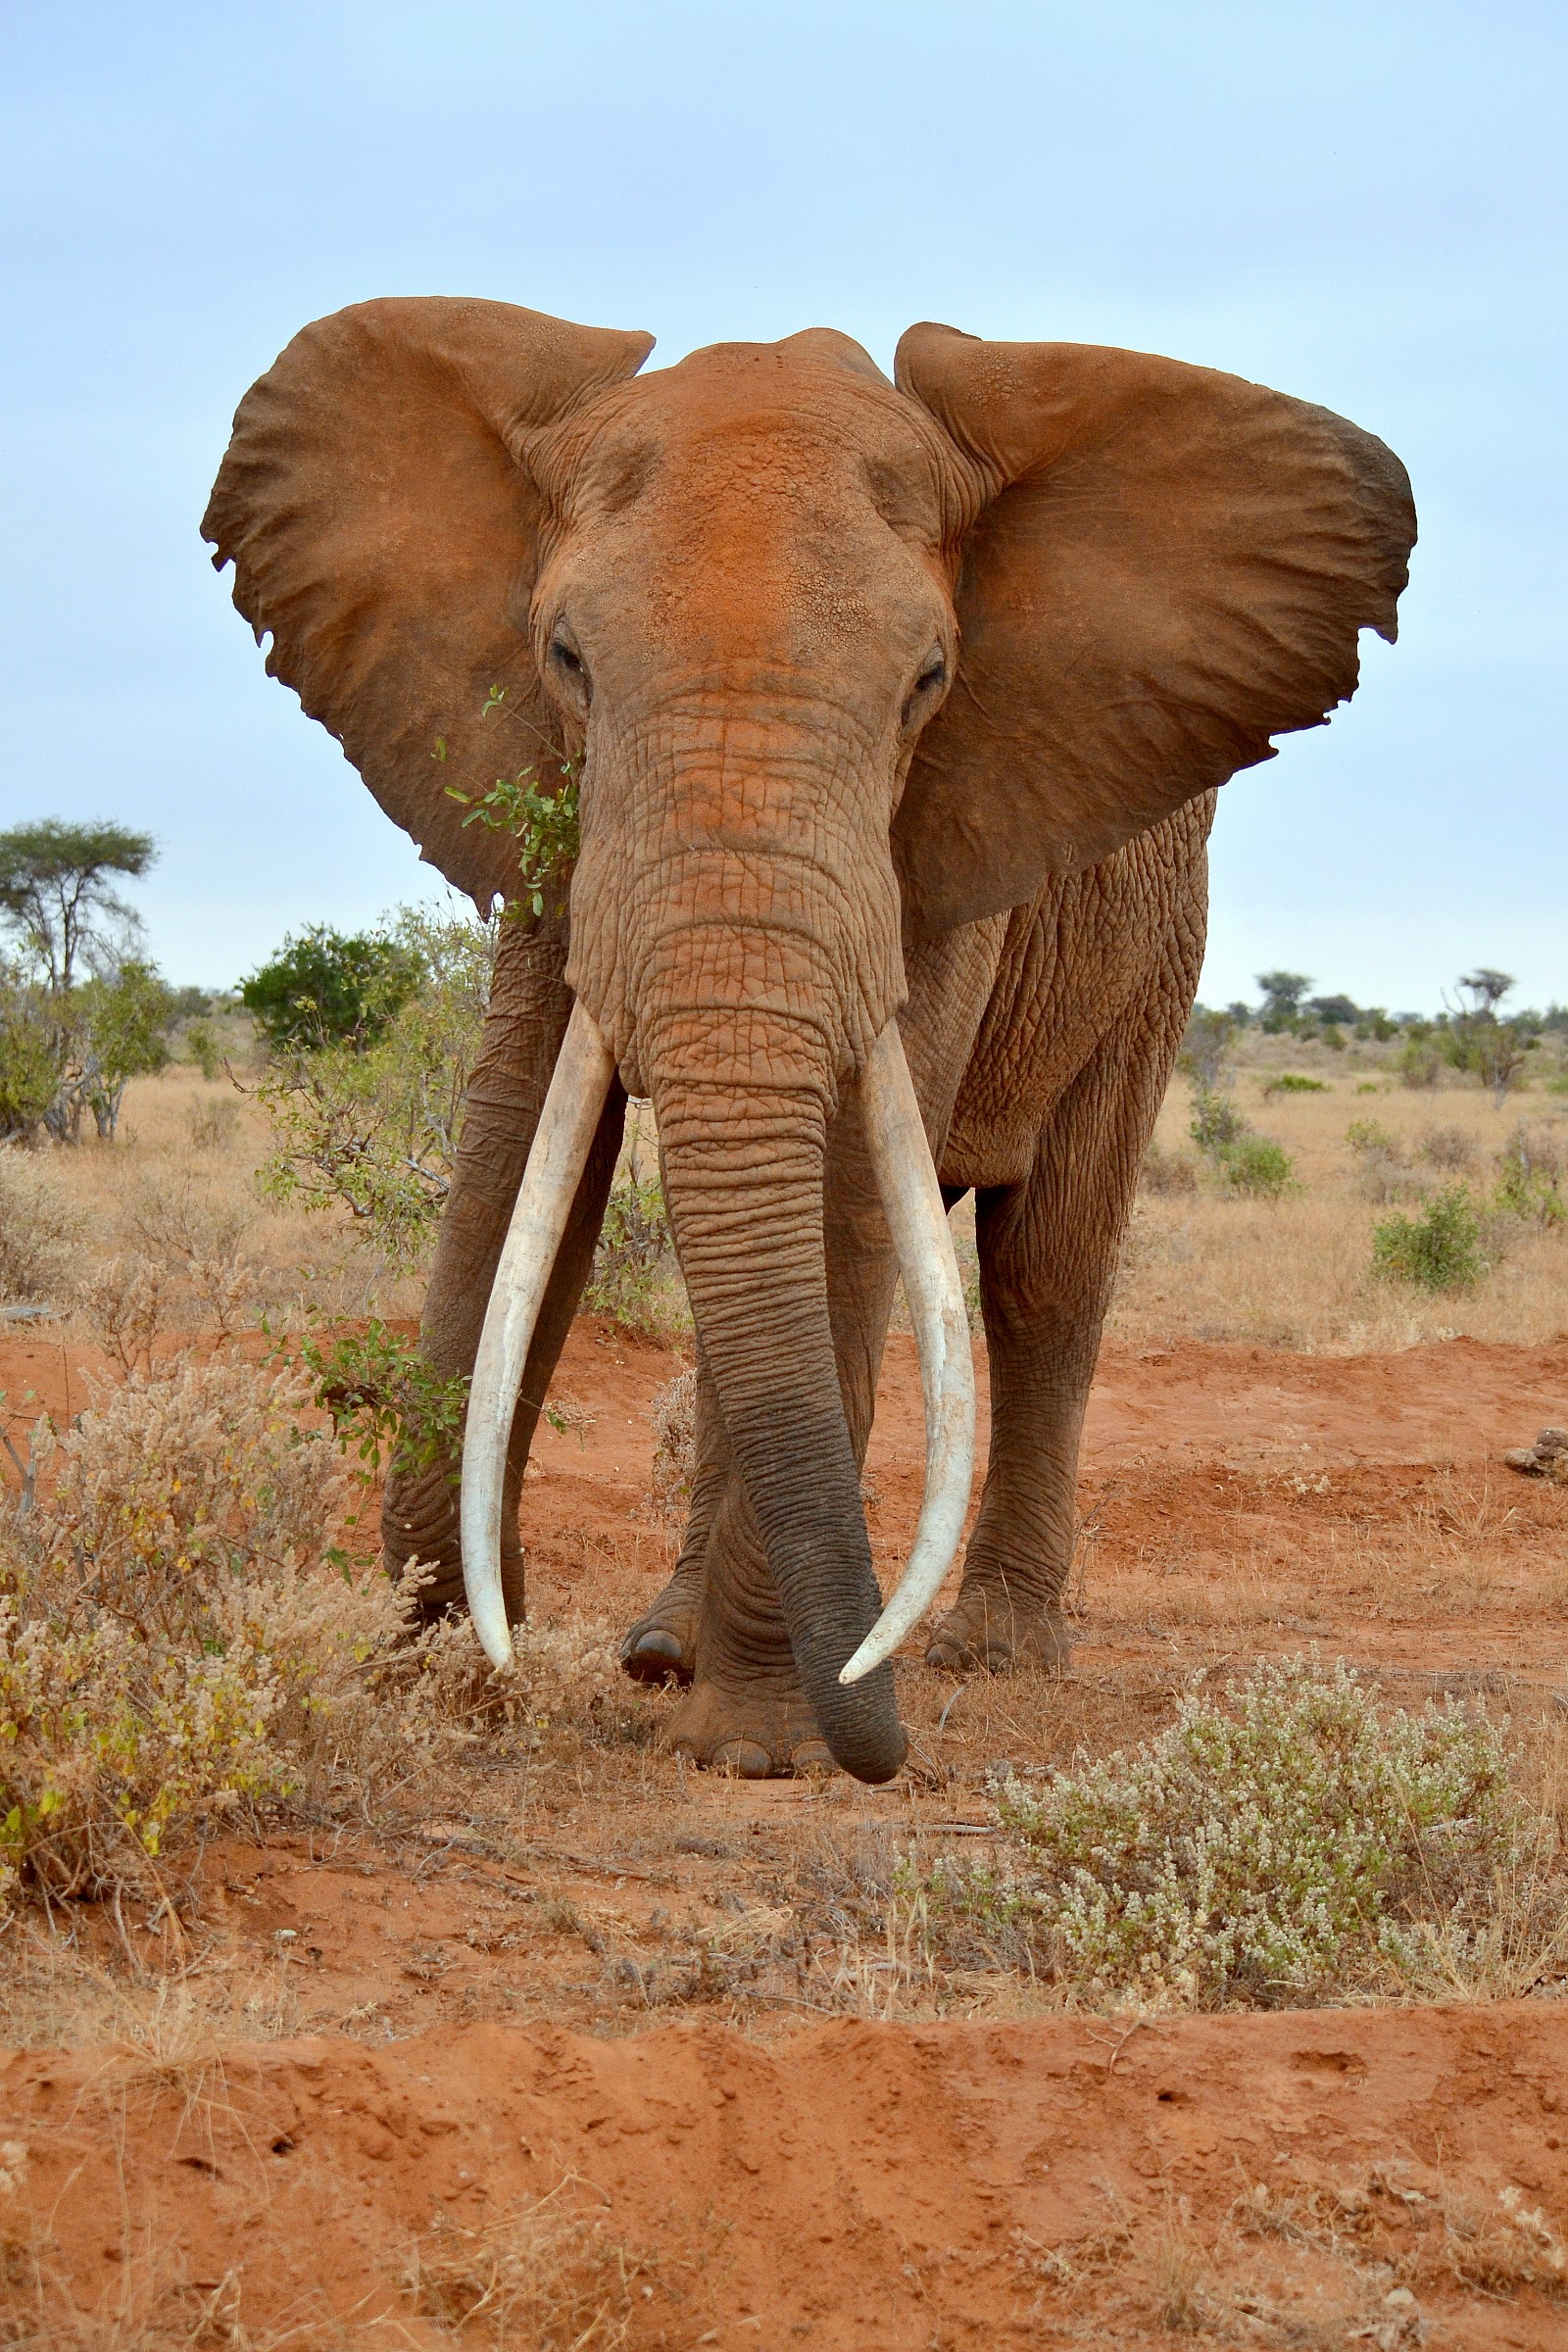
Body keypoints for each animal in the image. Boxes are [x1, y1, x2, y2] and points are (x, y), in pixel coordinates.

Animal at [204, 300, 1414, 1786]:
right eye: (566, 660)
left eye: (929, 681)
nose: (882, 1744)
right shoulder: (548, 811)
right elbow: (513, 1167)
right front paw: (429, 1679)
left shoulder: (947, 836)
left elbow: (840, 1197)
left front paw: (764, 1747)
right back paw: (663, 1652)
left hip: (1150, 955)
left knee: (1046, 1271)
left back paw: (988, 1652)